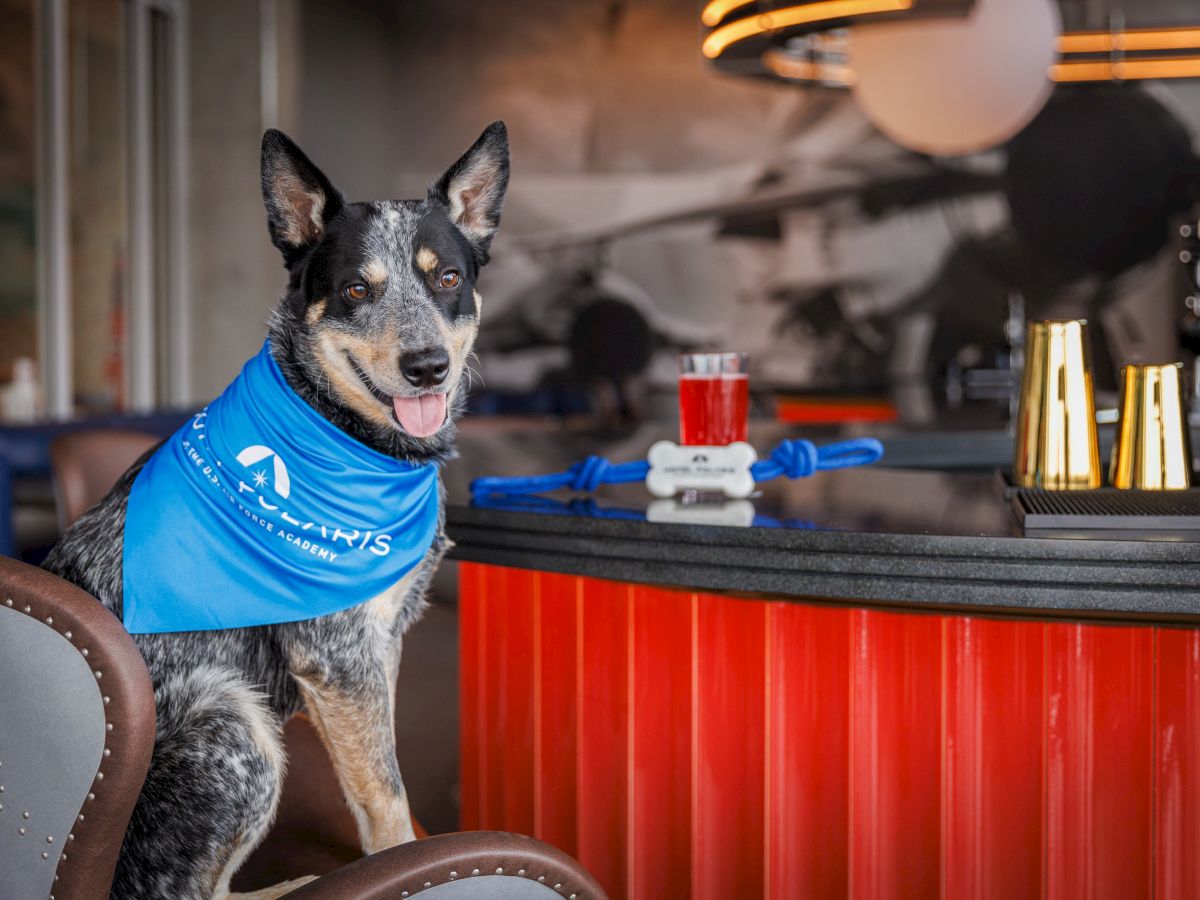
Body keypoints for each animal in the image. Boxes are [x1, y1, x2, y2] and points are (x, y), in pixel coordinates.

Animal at [43, 121, 506, 900]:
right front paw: (406, 866)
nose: (427, 367)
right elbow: (387, 795)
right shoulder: (338, 656)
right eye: (356, 289)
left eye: (447, 278)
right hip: (236, 724)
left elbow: (372, 775)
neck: (345, 439)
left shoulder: (377, 647)